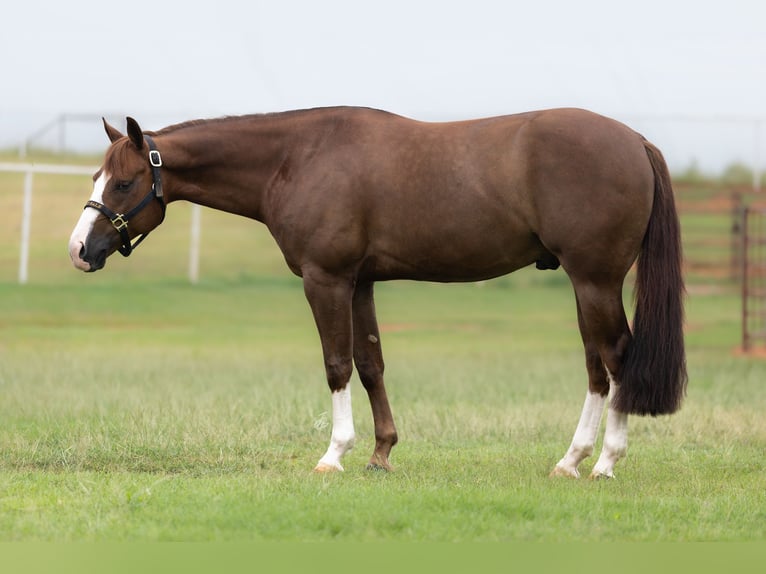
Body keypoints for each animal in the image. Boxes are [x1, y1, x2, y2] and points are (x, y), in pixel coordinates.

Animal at [68, 106, 686, 478]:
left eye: (124, 182)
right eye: (97, 178)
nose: (79, 249)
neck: (298, 158)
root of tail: (635, 140)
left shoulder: (326, 279)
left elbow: (337, 364)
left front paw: (333, 454)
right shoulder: (360, 281)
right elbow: (370, 364)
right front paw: (381, 452)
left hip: (594, 280)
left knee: (615, 360)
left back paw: (604, 463)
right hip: (586, 286)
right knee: (596, 367)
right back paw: (572, 460)